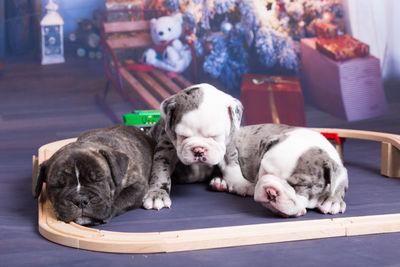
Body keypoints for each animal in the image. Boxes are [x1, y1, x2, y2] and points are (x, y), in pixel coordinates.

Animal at [143, 82, 250, 210]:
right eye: (182, 135)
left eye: (215, 136)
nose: (198, 150)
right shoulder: (165, 149)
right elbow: (161, 172)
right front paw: (157, 194)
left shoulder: (228, 145)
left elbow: (232, 164)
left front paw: (240, 183)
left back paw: (219, 180)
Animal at [211, 124, 348, 219]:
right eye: (264, 171)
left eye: (299, 185)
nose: (271, 192)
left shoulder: (341, 169)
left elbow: (340, 183)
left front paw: (333, 201)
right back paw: (221, 182)